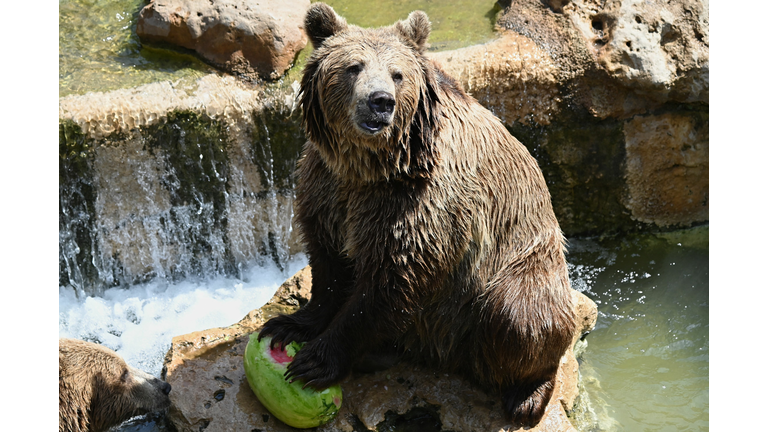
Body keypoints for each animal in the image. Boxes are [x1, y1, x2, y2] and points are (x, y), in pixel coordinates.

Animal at [258, 2, 576, 426]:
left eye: (397, 73)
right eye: (354, 66)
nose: (380, 101)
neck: (371, 167)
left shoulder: (419, 204)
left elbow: (391, 281)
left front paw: (317, 360)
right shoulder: (327, 188)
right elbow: (328, 263)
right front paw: (290, 324)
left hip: (518, 270)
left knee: (518, 318)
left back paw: (527, 394)